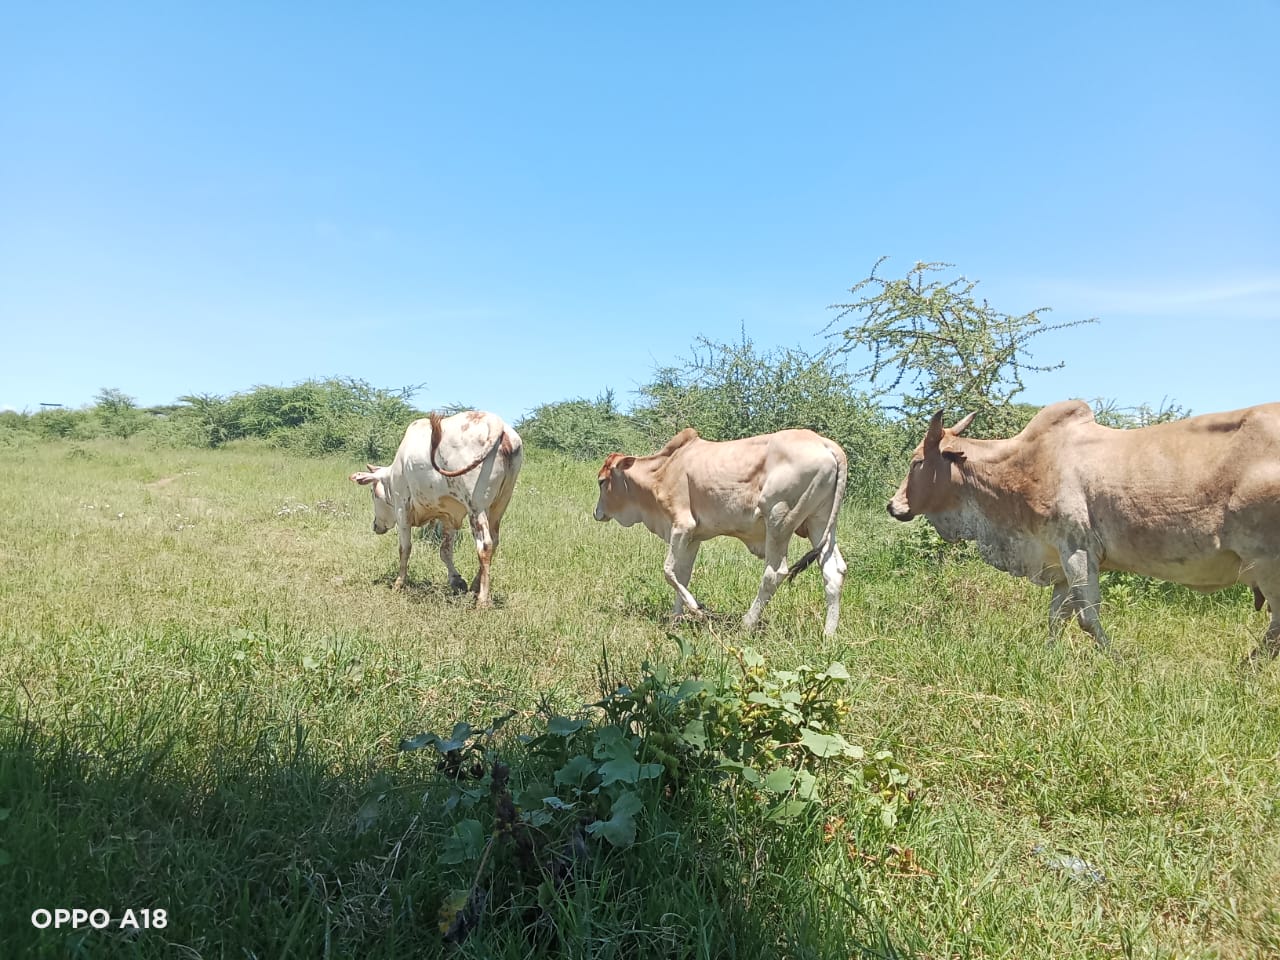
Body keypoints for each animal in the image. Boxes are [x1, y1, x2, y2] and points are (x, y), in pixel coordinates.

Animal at [350, 411, 522, 607]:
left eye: (372, 492)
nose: (375, 525)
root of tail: (496, 423)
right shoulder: (449, 515)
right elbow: (445, 551)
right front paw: (457, 581)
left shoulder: (402, 508)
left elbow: (405, 548)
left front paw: (399, 583)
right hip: (500, 505)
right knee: (494, 541)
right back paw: (474, 587)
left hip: (477, 507)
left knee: (485, 546)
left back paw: (482, 600)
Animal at [593, 428, 849, 636]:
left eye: (601, 481)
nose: (597, 513)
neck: (663, 471)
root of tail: (826, 443)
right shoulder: (693, 537)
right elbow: (682, 574)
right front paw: (676, 620)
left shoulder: (681, 525)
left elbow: (667, 570)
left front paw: (697, 609)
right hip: (819, 522)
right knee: (834, 571)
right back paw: (828, 635)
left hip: (779, 520)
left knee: (774, 573)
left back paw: (747, 624)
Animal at [887, 400, 1280, 661]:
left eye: (917, 461)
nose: (893, 505)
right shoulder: (1060, 560)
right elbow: (1055, 618)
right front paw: (1046, 656)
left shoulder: (1077, 550)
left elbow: (1087, 618)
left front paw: (1119, 660)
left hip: (1267, 564)